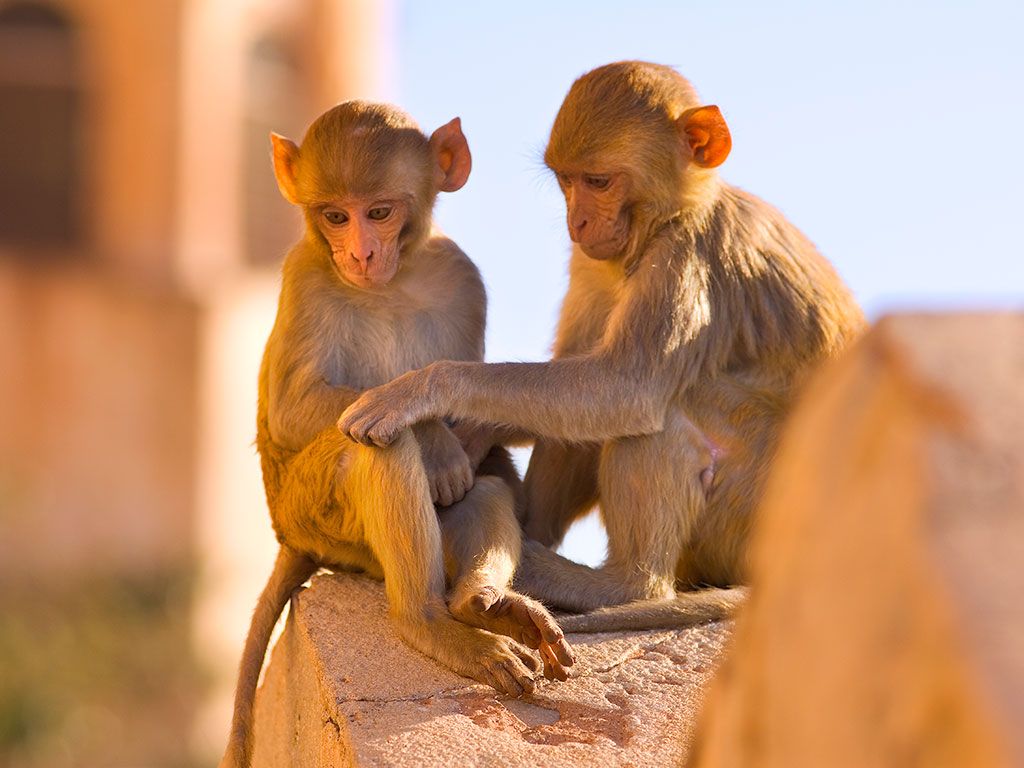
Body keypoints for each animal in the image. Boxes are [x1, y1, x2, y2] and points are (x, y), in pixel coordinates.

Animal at [220, 101, 574, 768]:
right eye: (335, 216)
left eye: (379, 212)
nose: (360, 254)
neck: (390, 283)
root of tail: (289, 535)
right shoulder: (305, 273)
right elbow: (292, 411)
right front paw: (430, 433)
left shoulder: (462, 279)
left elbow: (475, 425)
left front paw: (445, 425)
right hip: (319, 517)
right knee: (378, 447)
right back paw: (426, 620)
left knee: (486, 482)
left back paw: (482, 603)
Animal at [338, 62, 866, 633]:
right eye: (566, 181)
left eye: (598, 181)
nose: (578, 222)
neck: (670, 217)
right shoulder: (592, 259)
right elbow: (574, 374)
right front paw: (473, 432)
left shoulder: (687, 257)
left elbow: (625, 389)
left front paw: (419, 390)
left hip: (756, 510)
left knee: (665, 408)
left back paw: (612, 584)